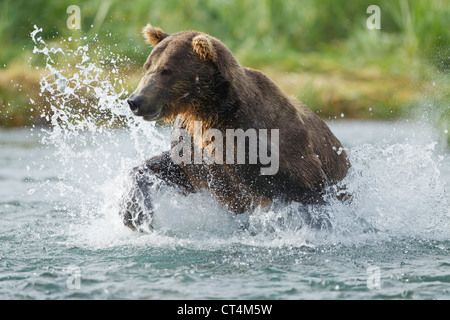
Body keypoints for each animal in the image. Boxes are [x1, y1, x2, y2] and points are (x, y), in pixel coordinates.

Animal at [120, 23, 352, 231]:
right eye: (147, 66)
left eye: (166, 71)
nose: (135, 100)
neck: (209, 111)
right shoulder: (194, 146)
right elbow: (170, 167)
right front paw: (135, 214)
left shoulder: (270, 144)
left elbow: (306, 187)